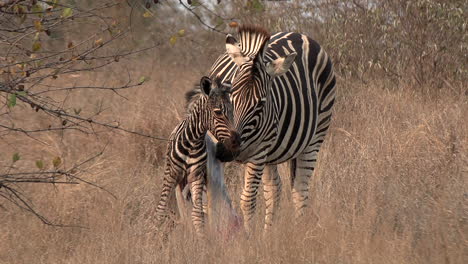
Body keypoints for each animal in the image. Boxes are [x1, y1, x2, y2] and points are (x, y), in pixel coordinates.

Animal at [209, 24, 336, 231]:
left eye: (261, 104)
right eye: (230, 97)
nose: (228, 149)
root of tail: (297, 34)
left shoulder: (258, 152)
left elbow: (248, 200)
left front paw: (248, 237)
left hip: (313, 139)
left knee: (299, 190)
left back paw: (297, 233)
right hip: (270, 154)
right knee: (274, 191)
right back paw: (268, 235)